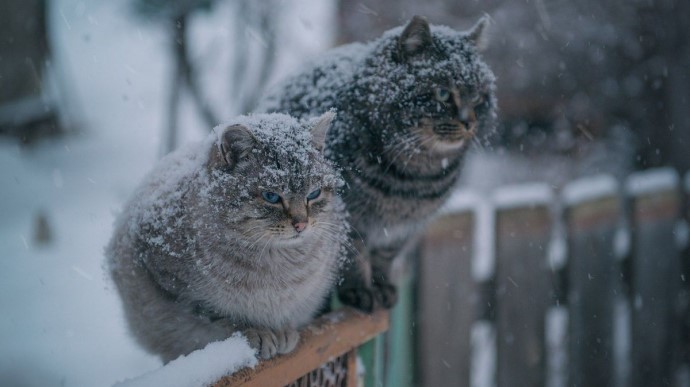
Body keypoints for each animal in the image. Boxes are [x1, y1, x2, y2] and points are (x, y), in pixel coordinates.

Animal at [105, 112, 346, 364]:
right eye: (271, 196)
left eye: (313, 194)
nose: (301, 224)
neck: (276, 263)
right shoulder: (176, 287)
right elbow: (222, 317)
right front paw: (259, 332)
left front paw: (281, 331)